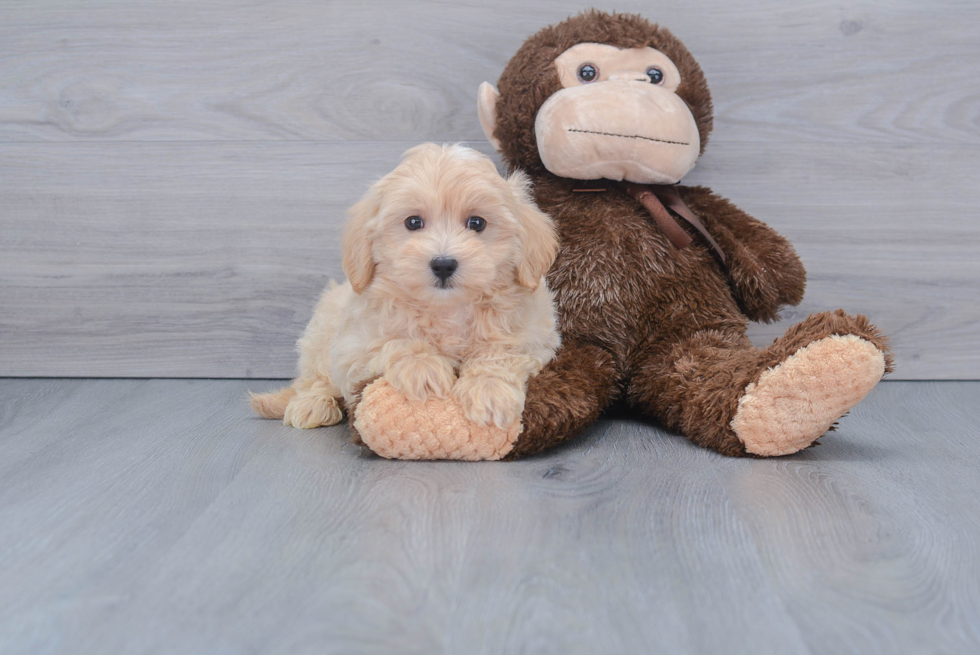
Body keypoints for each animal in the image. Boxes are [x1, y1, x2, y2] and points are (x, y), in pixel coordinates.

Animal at [249, 144, 564, 430]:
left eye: (477, 223)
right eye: (413, 222)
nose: (443, 264)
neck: (447, 308)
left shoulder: (536, 338)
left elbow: (502, 351)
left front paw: (489, 391)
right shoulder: (352, 347)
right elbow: (395, 342)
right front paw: (423, 367)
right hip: (319, 335)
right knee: (313, 379)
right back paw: (312, 405)